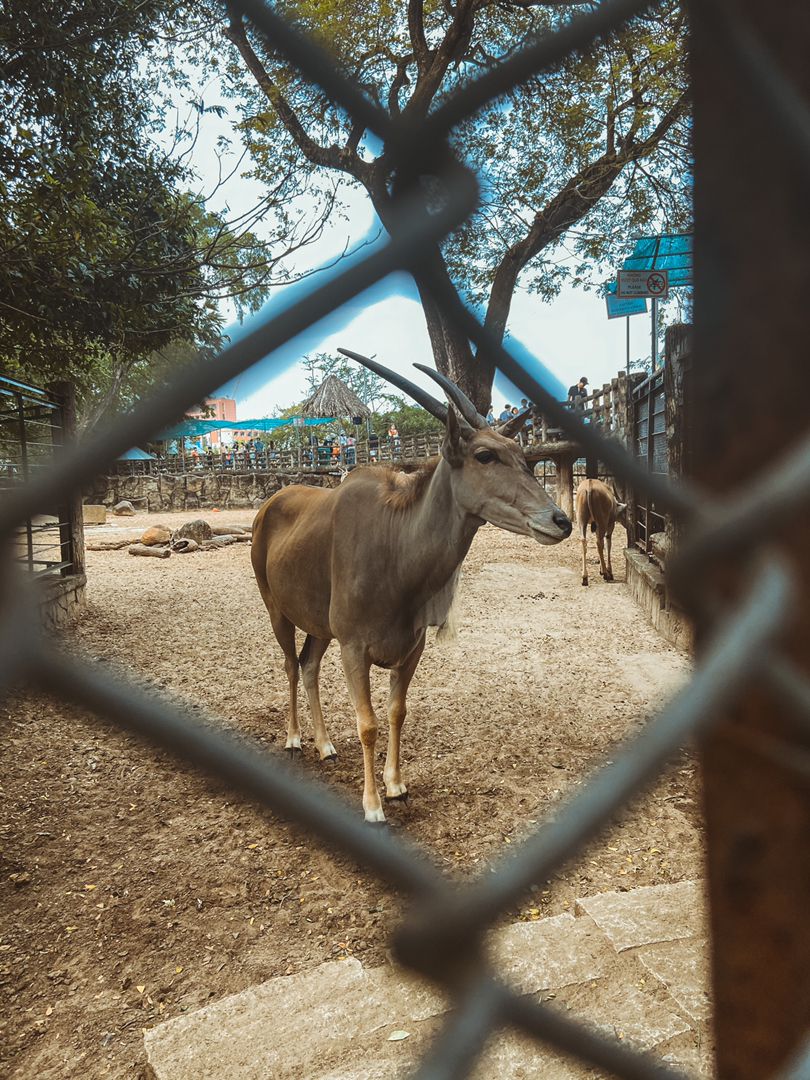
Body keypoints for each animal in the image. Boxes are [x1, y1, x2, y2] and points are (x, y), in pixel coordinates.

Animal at [250, 349, 574, 820]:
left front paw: (396, 784)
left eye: (521, 454)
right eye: (485, 455)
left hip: (319, 627)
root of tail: (269, 505)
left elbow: (397, 712)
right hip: (278, 611)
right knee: (292, 664)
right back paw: (295, 739)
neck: (395, 543)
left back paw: (325, 745)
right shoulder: (354, 649)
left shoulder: (411, 649)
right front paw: (372, 805)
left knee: (309, 665)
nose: (560, 520)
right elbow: (367, 724)